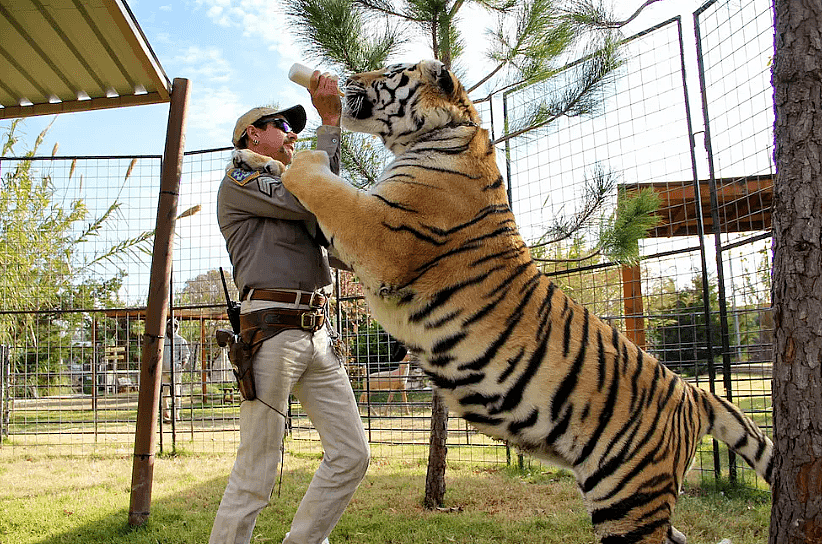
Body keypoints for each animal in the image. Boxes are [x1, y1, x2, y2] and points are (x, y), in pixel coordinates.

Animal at [235, 59, 776, 544]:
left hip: (628, 496)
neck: (439, 135)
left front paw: (290, 157)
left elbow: (319, 182)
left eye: (388, 71)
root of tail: (693, 393)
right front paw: (255, 159)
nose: (345, 79)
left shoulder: (377, 234)